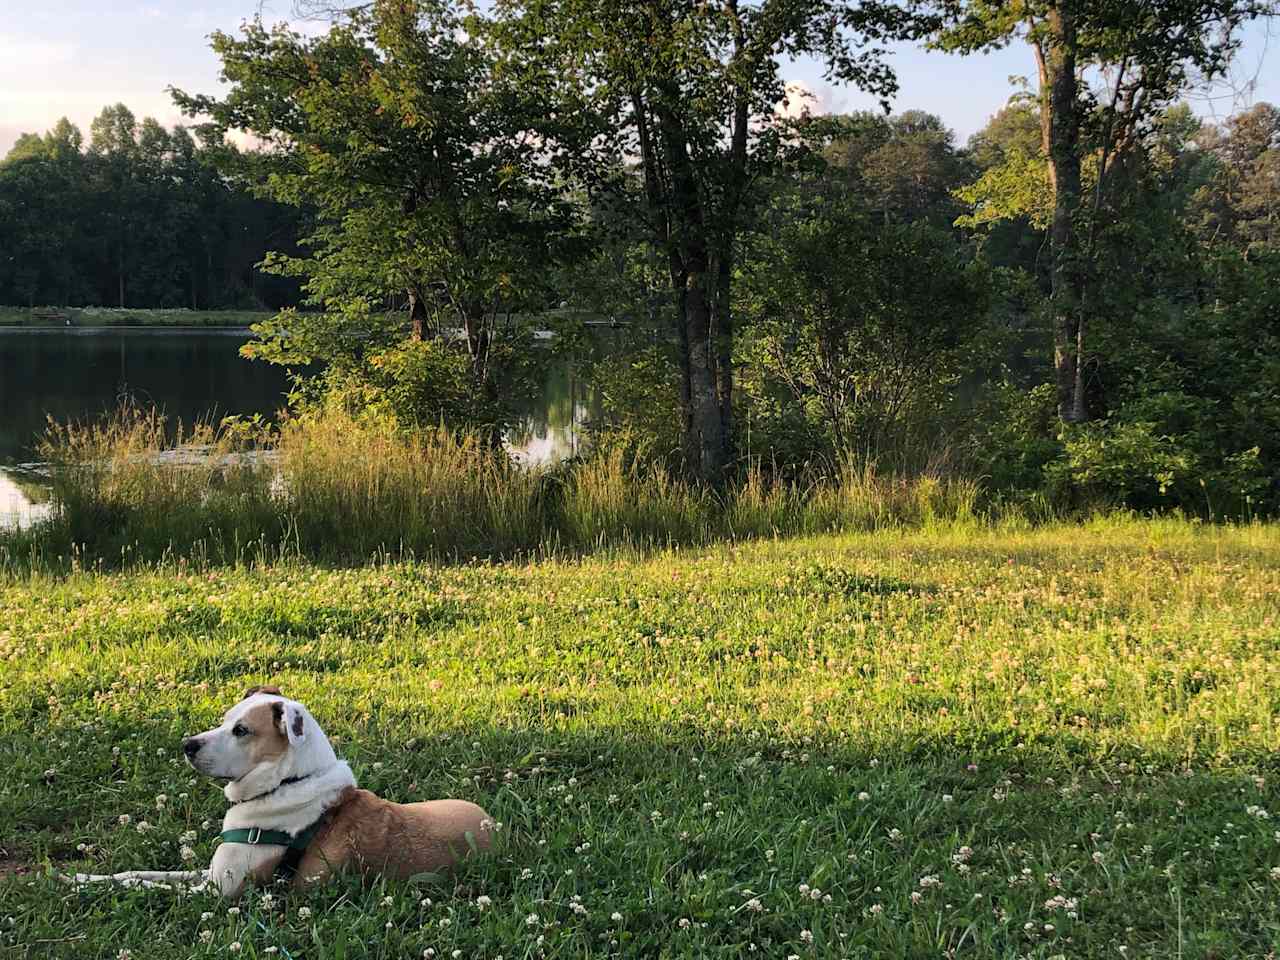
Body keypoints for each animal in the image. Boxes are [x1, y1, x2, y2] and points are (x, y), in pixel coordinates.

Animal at [72, 686, 496, 901]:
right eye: (225, 720)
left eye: (242, 730)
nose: (187, 745)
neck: (285, 781)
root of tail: (498, 831)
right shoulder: (210, 871)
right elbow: (137, 872)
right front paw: (79, 876)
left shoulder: (219, 891)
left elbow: (142, 885)